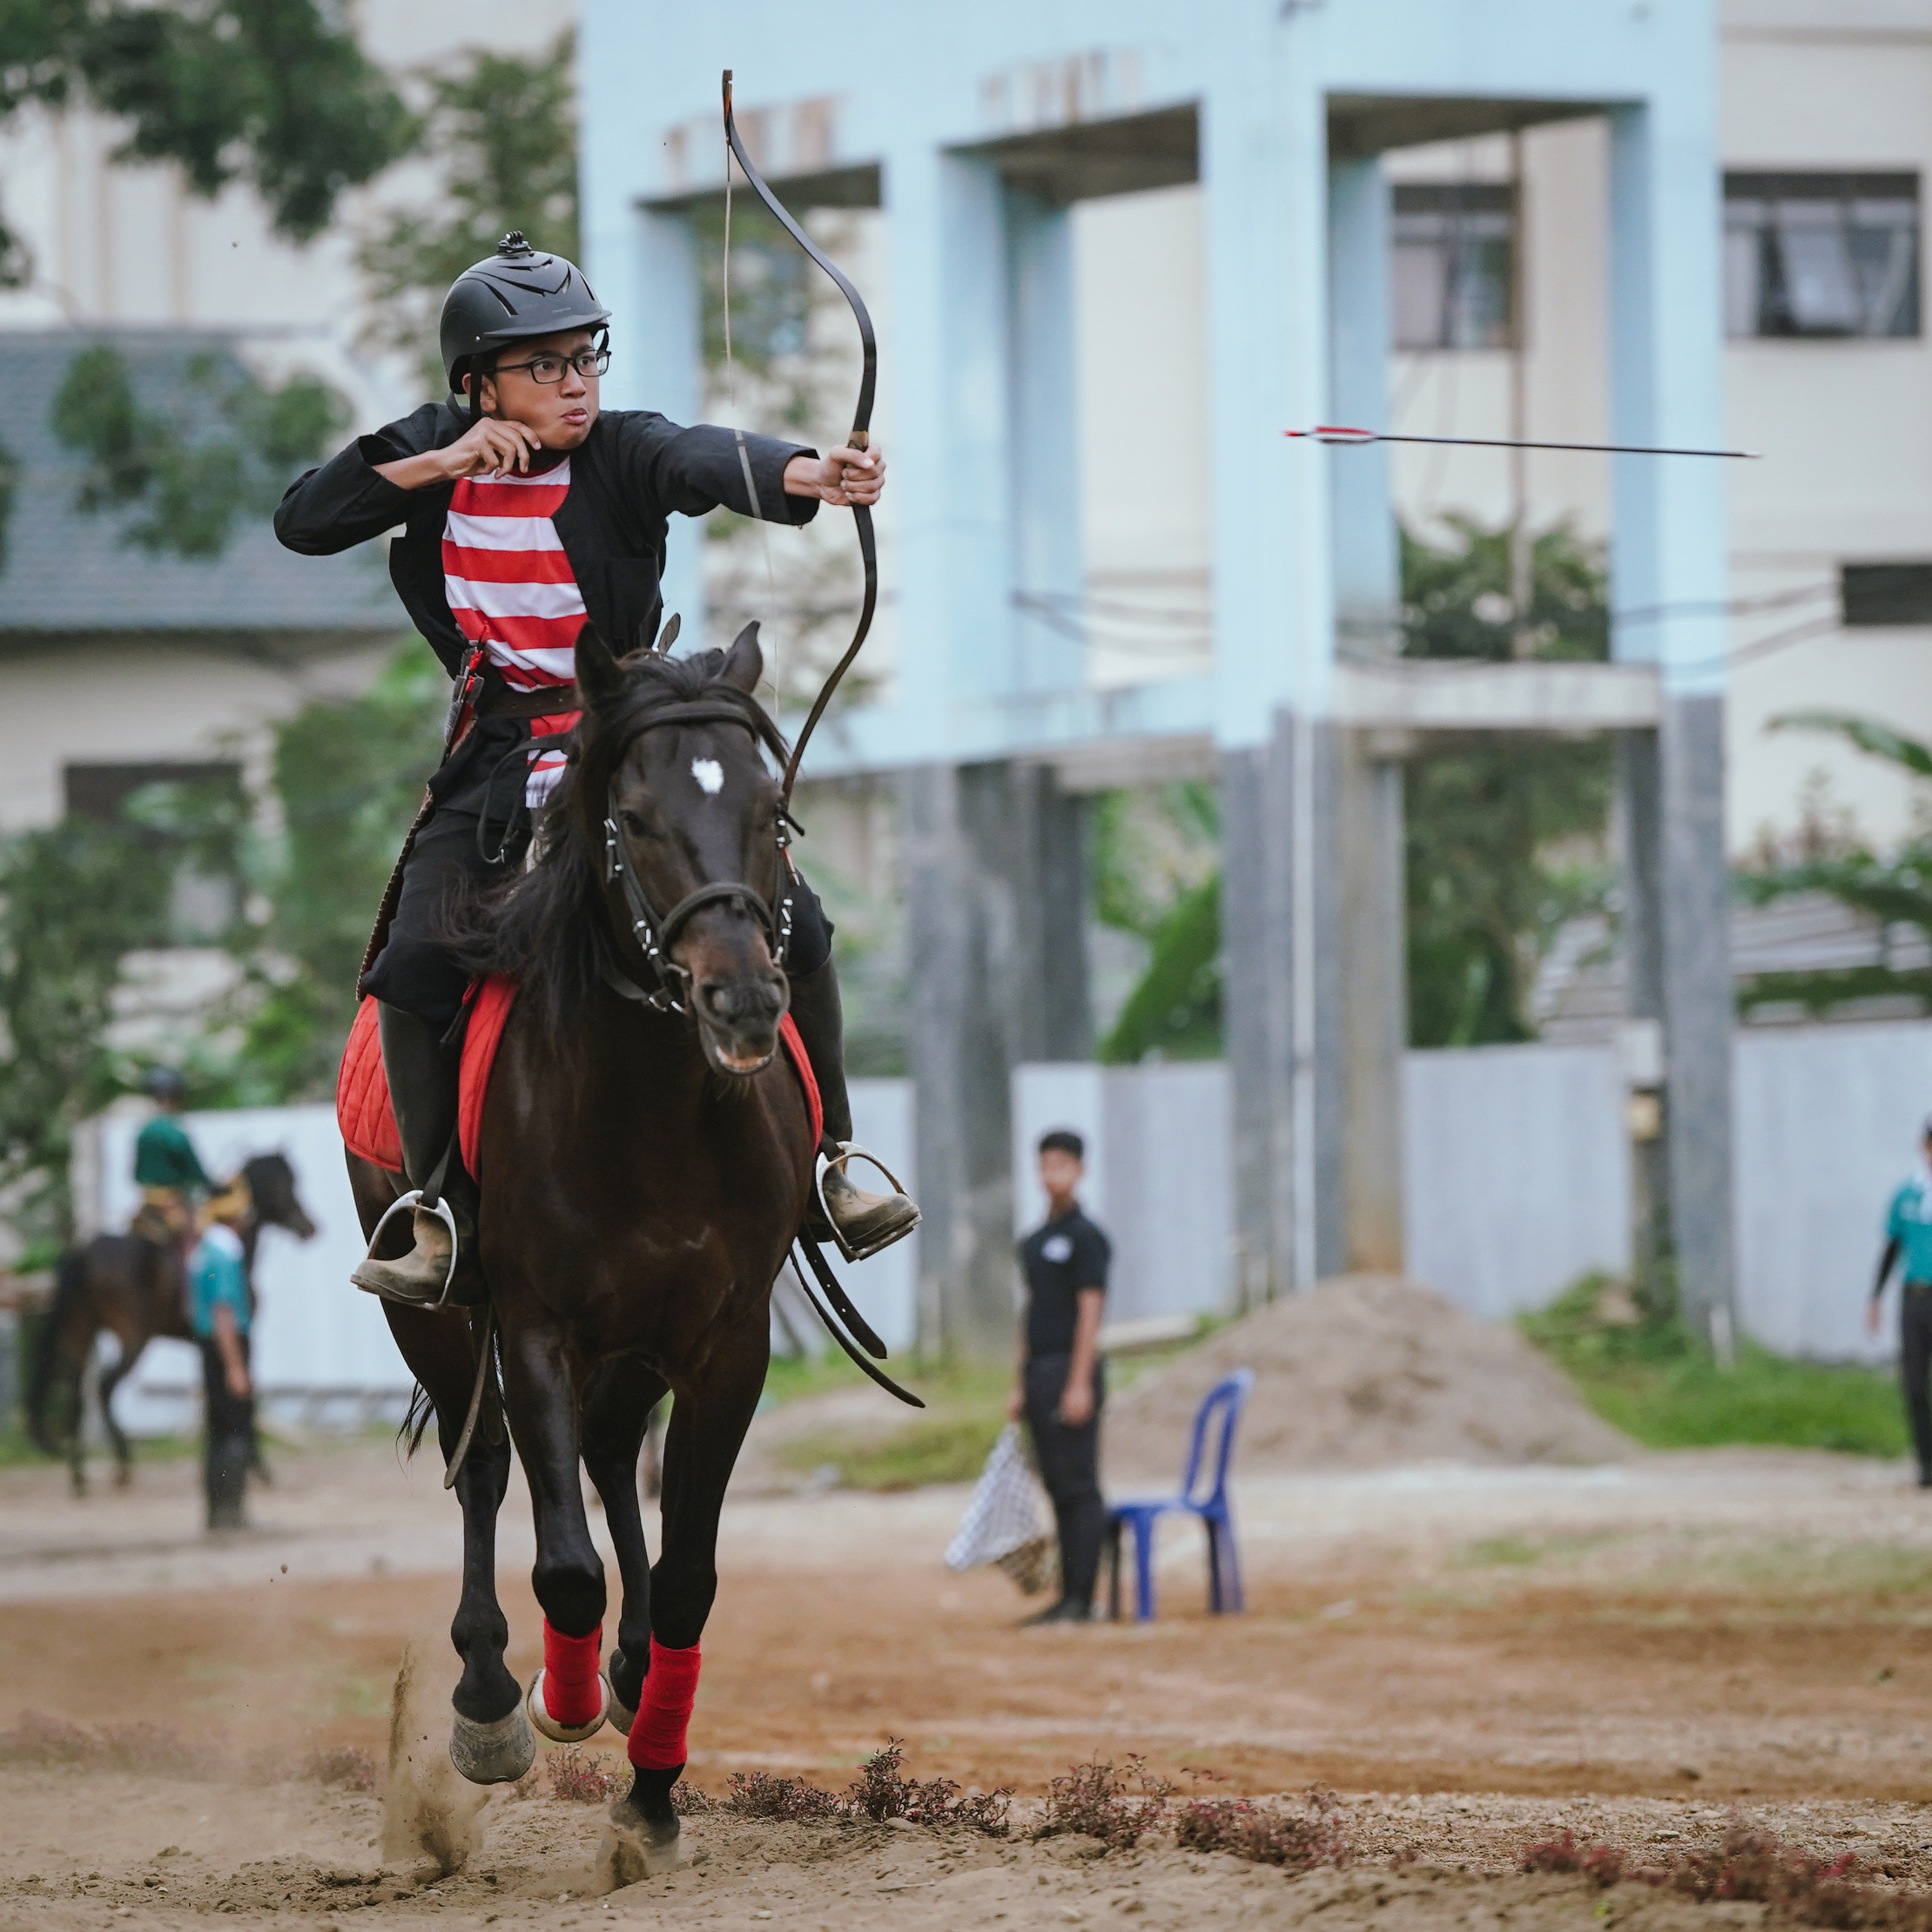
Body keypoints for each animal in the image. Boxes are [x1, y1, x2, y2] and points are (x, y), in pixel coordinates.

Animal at [30, 1143, 319, 1491]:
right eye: (288, 1182)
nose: (309, 1227)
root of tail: (83, 1252)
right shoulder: (242, 1338)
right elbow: (244, 1398)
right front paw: (260, 1469)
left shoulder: (208, 1347)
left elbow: (217, 1403)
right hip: (133, 1336)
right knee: (104, 1386)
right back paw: (122, 1462)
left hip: (80, 1332)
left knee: (75, 1395)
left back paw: (80, 1476)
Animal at [351, 622, 818, 1885]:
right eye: (639, 818)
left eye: (771, 807)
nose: (742, 994)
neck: (653, 1107)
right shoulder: (533, 1323)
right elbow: (560, 1558)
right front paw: (542, 1702)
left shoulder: (724, 1337)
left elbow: (695, 1570)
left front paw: (650, 1792)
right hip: (432, 1314)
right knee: (483, 1467)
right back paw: (493, 1694)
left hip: (642, 1337)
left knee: (611, 1451)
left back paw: (630, 1663)